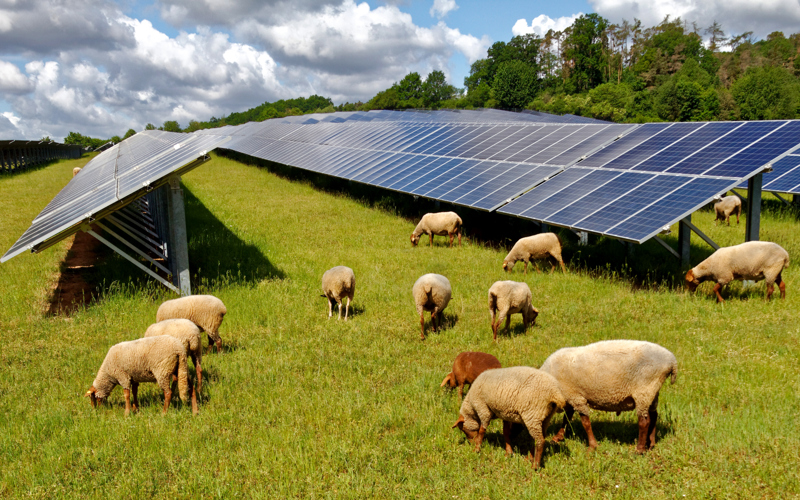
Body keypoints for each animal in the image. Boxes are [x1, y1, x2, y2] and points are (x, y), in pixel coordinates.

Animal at [540, 340, 680, 454]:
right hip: (653, 391)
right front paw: (558, 437)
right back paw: (651, 444)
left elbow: (585, 423)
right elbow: (566, 419)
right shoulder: (570, 397)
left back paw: (639, 449)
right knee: (654, 415)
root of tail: (672, 361)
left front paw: (592, 446)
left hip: (644, 390)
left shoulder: (576, 397)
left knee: (644, 421)